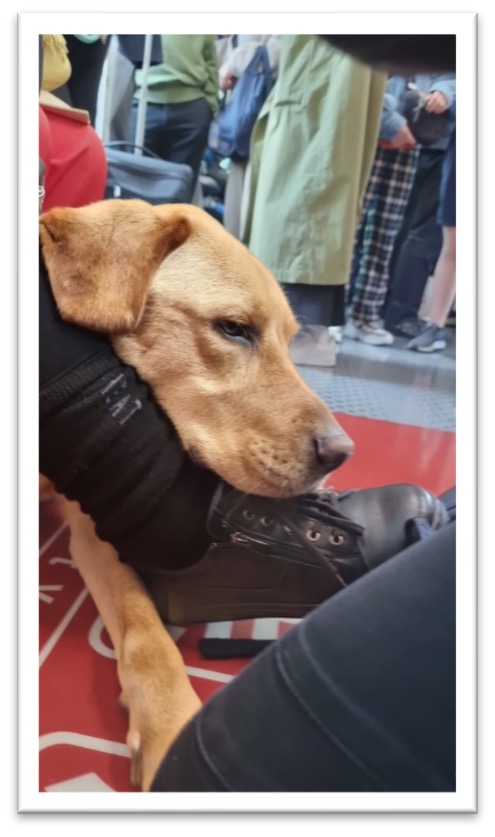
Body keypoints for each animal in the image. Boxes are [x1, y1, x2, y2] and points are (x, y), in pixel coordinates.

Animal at [40, 199, 354, 788]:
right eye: (234, 328)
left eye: (289, 340)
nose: (343, 452)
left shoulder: (97, 528)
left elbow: (145, 628)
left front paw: (166, 724)